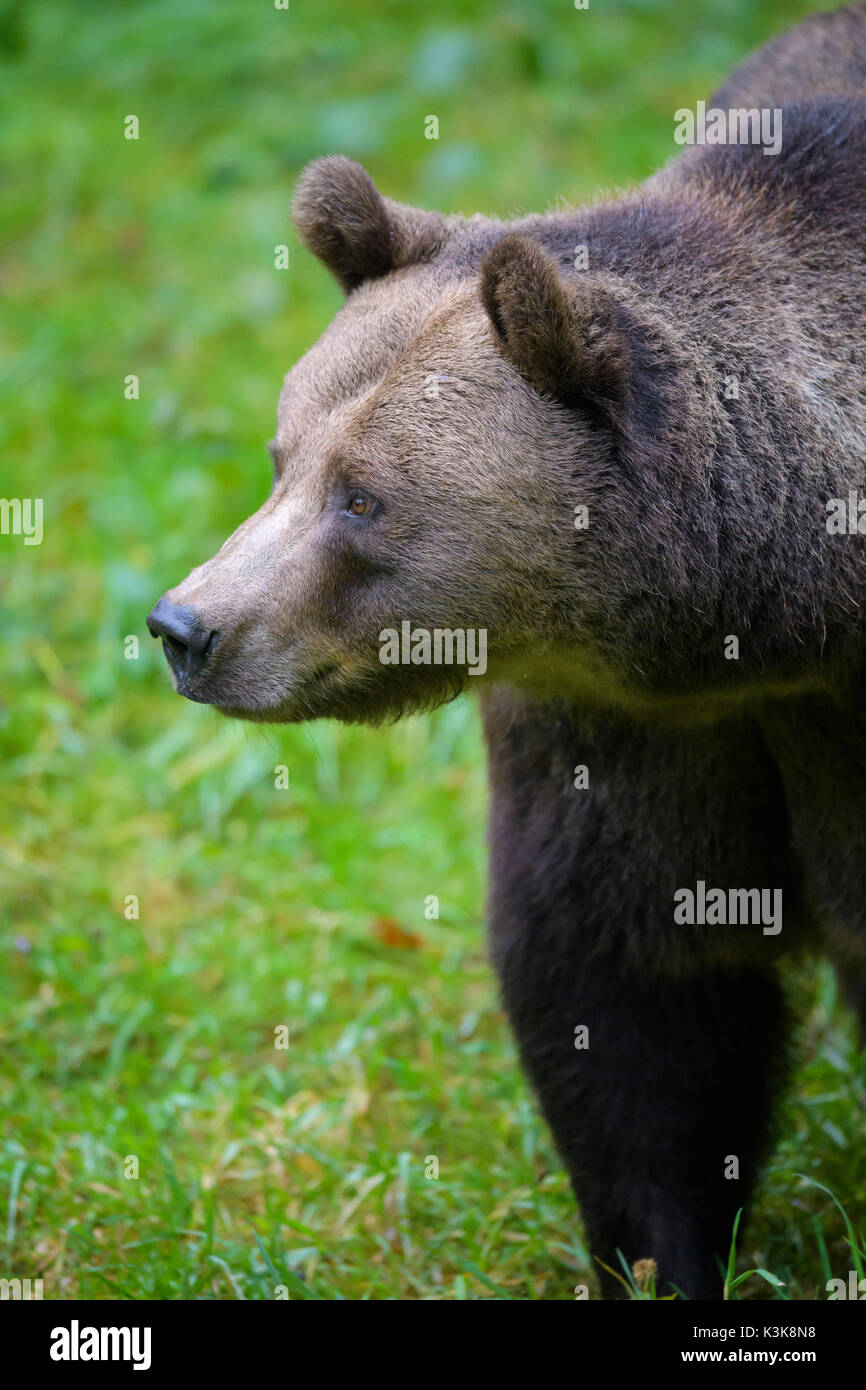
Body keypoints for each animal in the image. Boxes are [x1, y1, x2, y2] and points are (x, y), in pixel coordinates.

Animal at [147, 3, 866, 1299]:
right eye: (281, 456)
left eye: (364, 498)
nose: (187, 626)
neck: (788, 623)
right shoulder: (627, 728)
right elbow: (625, 990)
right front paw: (660, 1254)